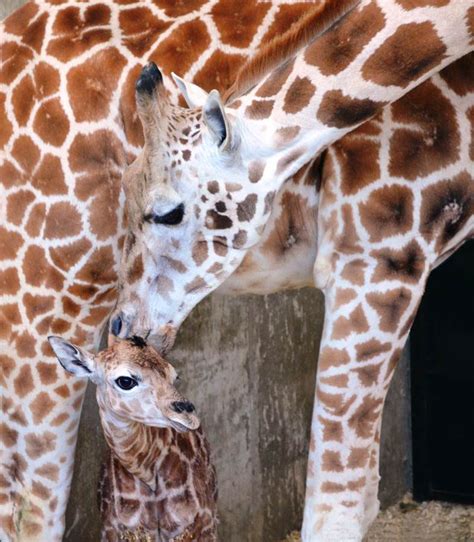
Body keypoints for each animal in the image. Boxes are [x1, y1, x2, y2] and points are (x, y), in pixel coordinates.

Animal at [49, 338, 218, 540]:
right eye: (125, 381)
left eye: (175, 376)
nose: (188, 416)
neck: (148, 473)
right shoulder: (116, 528)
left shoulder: (196, 524)